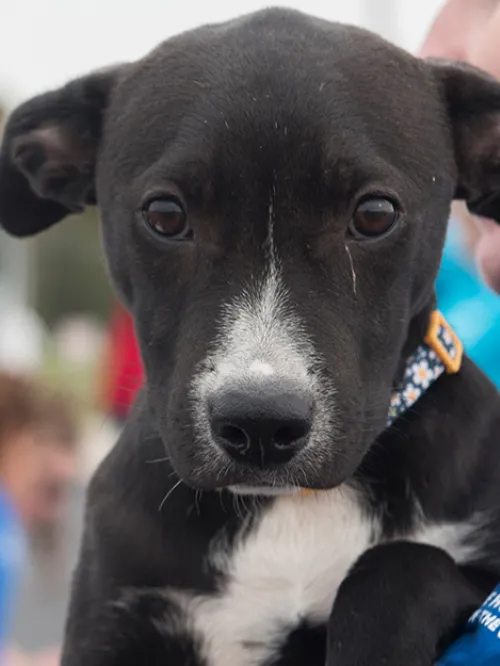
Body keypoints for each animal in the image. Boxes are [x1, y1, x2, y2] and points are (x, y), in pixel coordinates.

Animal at [0, 7, 500, 660]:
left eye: (374, 214)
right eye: (165, 215)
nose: (260, 425)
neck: (290, 508)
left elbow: (398, 565)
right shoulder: (113, 613)